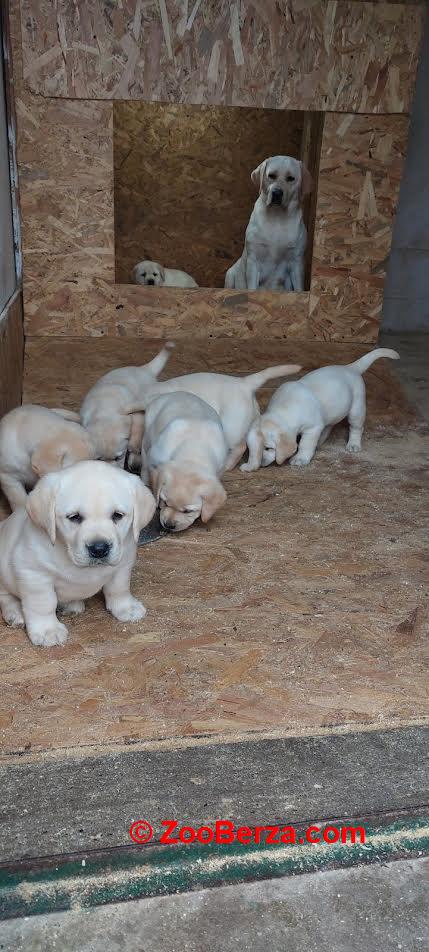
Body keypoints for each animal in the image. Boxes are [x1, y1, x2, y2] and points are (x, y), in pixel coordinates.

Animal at [141, 390, 229, 532]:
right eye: (165, 502)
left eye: (188, 511)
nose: (168, 525)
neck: (193, 451)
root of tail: (170, 394)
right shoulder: (153, 456)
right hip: (147, 435)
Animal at [224, 155, 310, 294]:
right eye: (271, 176)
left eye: (290, 178)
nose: (277, 193)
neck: (277, 218)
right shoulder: (254, 259)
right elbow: (252, 286)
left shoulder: (296, 260)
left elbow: (298, 288)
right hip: (230, 273)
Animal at [242, 346, 400, 472]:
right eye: (252, 449)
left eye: (269, 448)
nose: (261, 463)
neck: (284, 410)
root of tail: (350, 368)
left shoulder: (313, 428)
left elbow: (305, 444)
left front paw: (300, 458)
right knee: (329, 426)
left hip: (357, 409)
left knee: (356, 428)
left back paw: (354, 444)